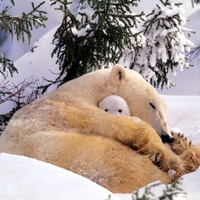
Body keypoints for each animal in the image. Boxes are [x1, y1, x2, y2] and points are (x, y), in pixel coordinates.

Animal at [0, 64, 200, 192]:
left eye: (164, 108)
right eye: (152, 104)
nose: (166, 136)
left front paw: (177, 141)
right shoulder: (71, 109)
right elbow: (128, 126)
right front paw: (169, 157)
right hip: (89, 155)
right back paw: (185, 159)